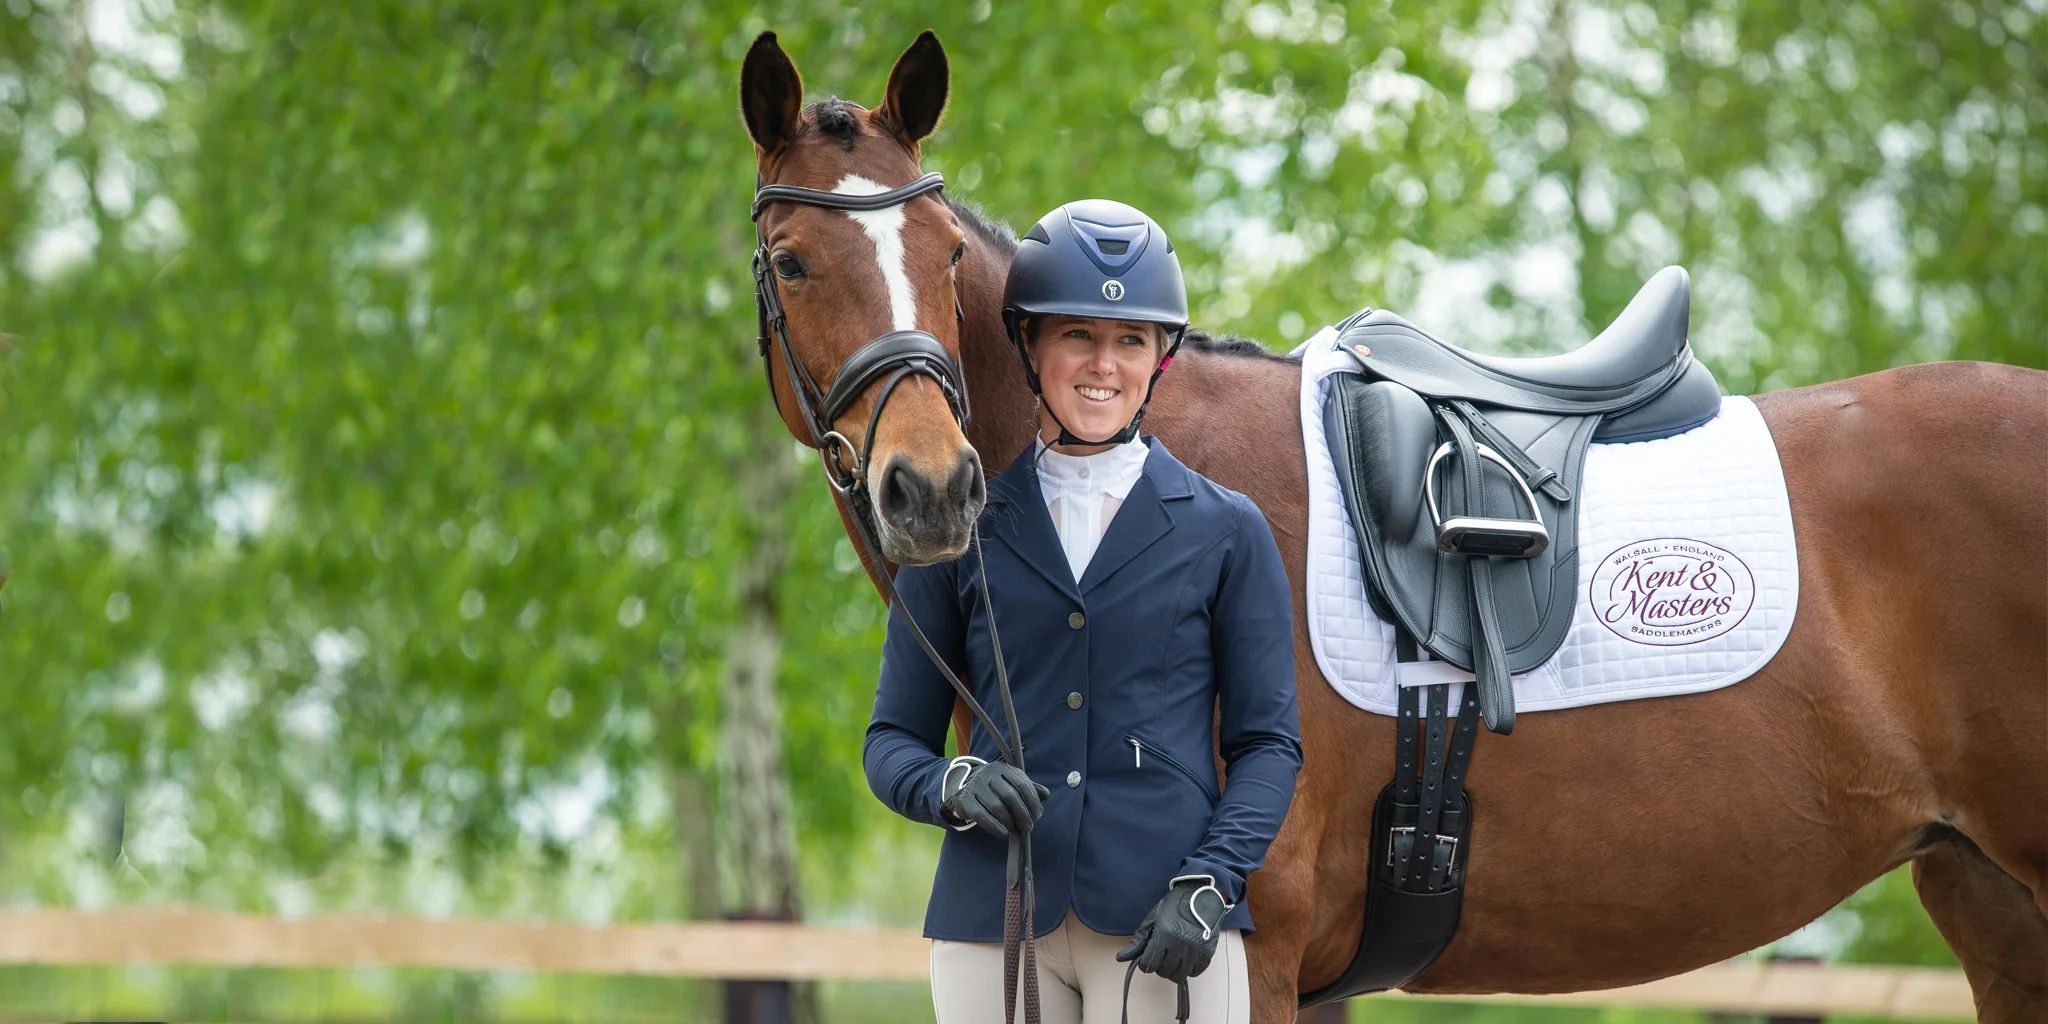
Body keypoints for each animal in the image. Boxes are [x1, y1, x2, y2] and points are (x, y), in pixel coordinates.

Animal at [738, 29, 2048, 1023]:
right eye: (790, 261)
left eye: (942, 250)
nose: (930, 488)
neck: (1102, 464)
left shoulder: (1247, 954)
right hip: (1991, 902)